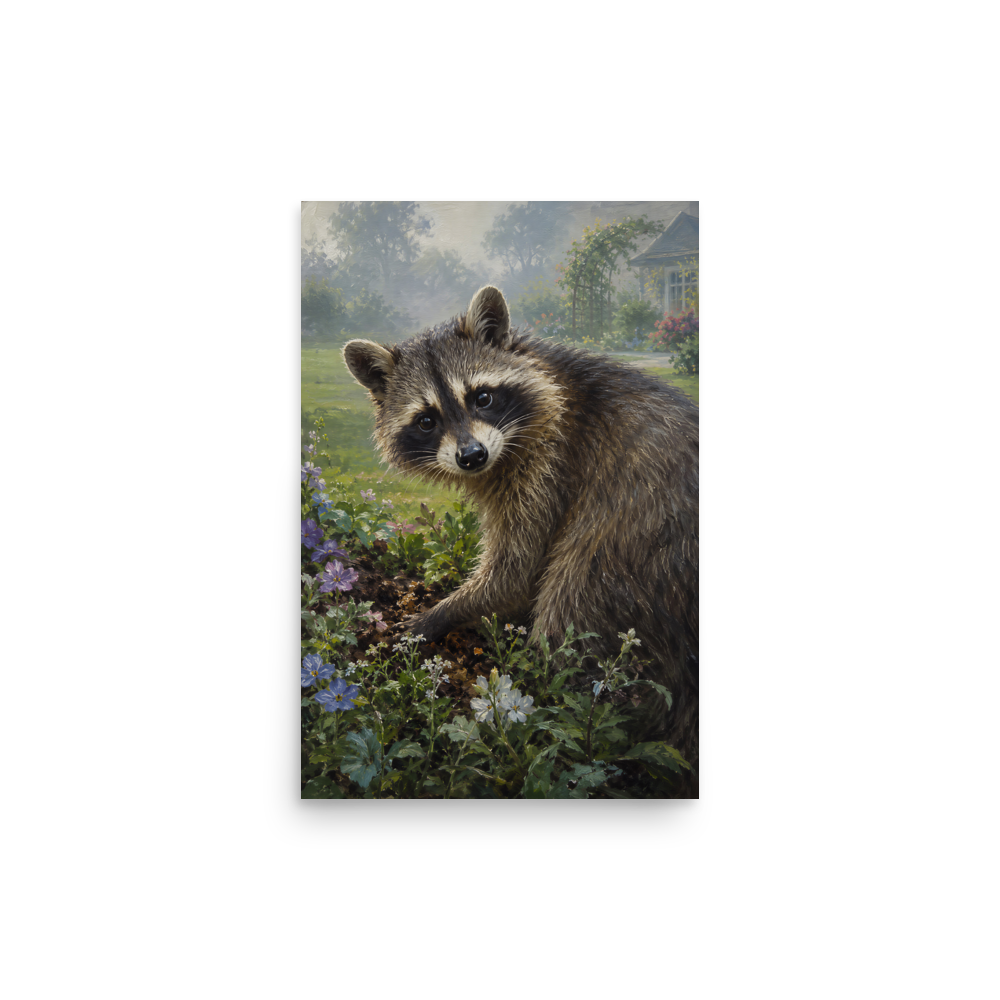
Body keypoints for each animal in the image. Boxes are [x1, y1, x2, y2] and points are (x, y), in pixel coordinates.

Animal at [343, 285, 699, 795]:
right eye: (426, 420)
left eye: (483, 396)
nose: (472, 456)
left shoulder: (552, 464)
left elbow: (516, 572)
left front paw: (438, 615)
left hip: (633, 557)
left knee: (571, 610)